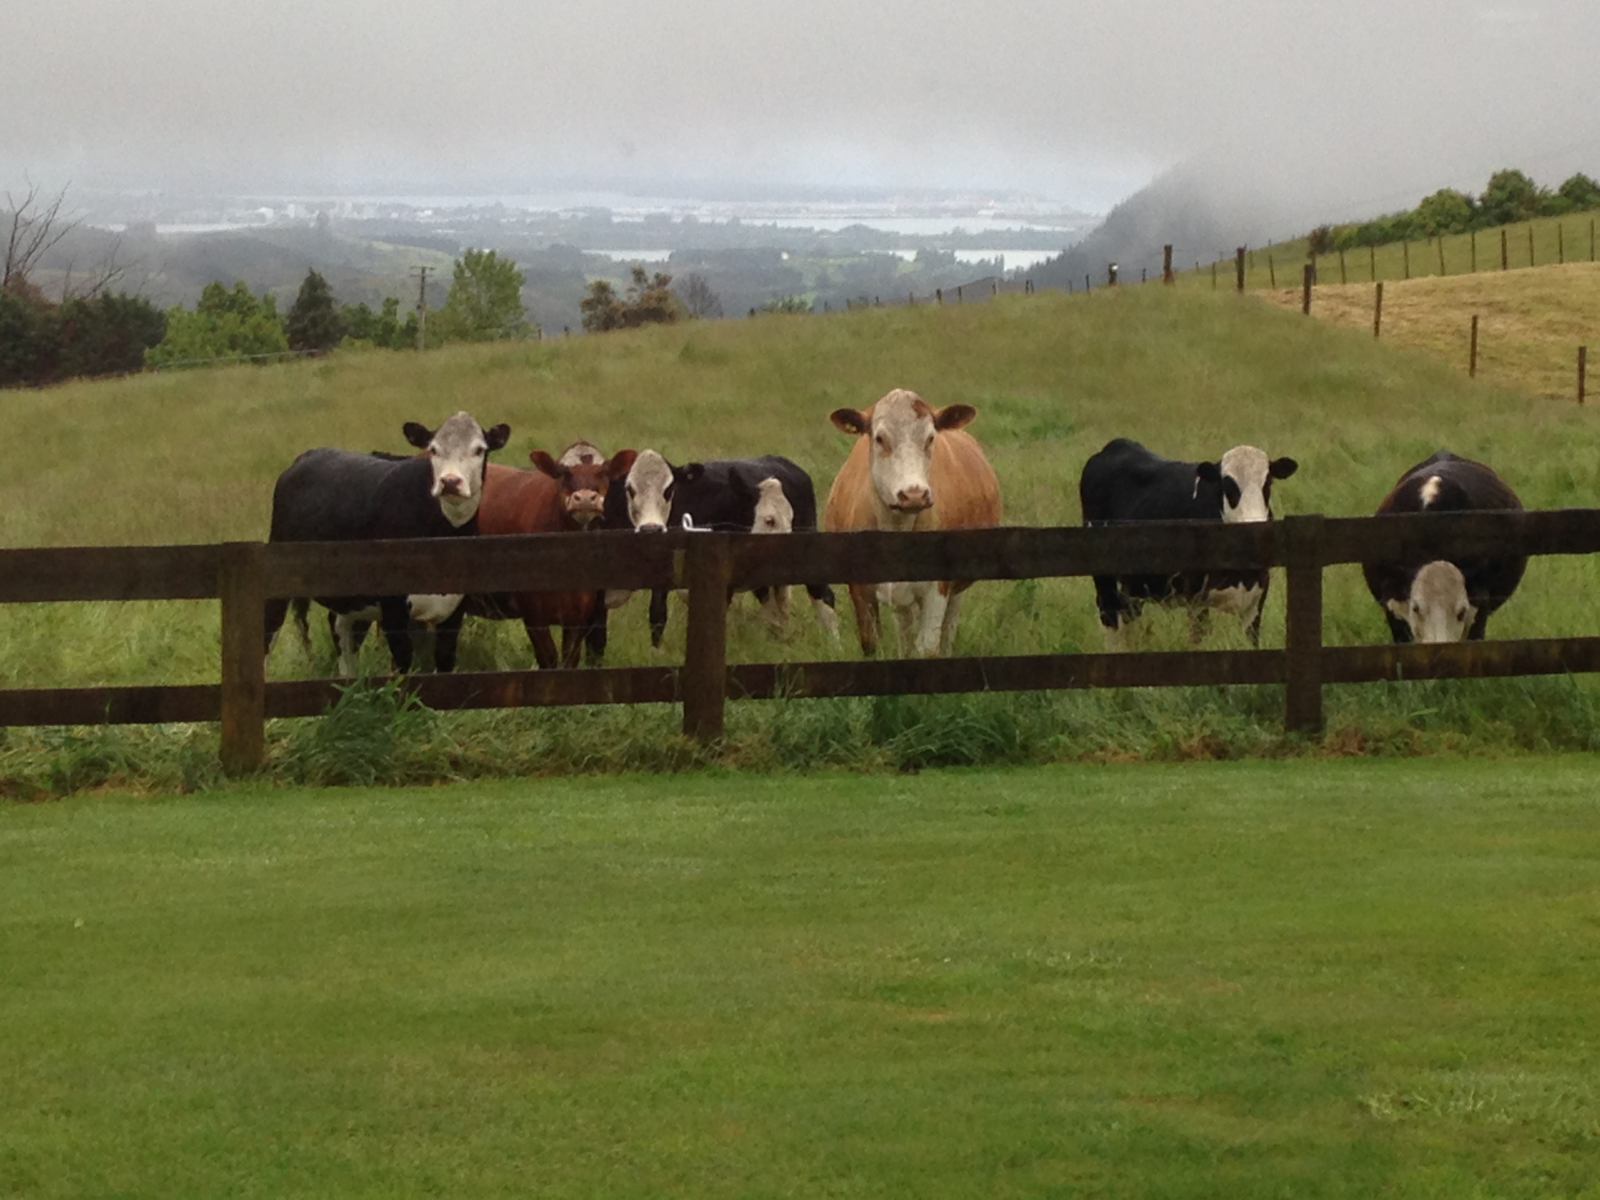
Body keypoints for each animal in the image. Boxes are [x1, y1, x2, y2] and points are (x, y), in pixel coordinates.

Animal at [263, 411, 510, 674]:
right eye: (433, 449)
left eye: (479, 450)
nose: (450, 481)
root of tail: (308, 455)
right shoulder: (394, 611)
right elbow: (403, 665)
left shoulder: (453, 610)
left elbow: (444, 663)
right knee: (269, 631)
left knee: (340, 630)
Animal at [461, 442, 637, 668]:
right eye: (564, 472)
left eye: (603, 472)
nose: (585, 499)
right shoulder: (533, 616)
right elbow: (549, 660)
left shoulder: (578, 616)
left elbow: (570, 660)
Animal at [824, 388, 1002, 657]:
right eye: (879, 438)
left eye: (930, 438)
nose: (914, 494)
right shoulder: (860, 588)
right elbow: (873, 644)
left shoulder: (938, 587)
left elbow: (928, 648)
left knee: (947, 629)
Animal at [1078, 438, 1298, 648]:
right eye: (1227, 485)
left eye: (1267, 483)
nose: (1254, 525)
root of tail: (1116, 445)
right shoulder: (1196, 599)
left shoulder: (1256, 600)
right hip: (1104, 579)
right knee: (1110, 618)